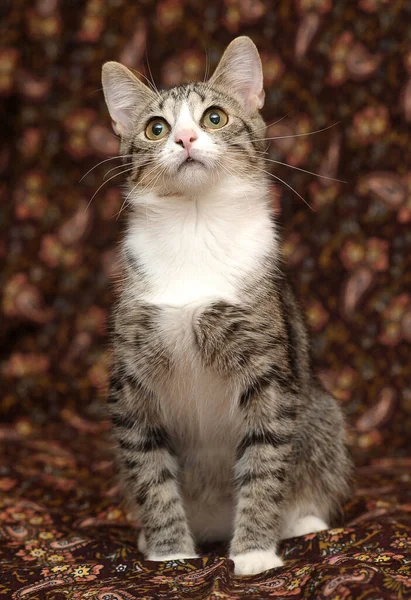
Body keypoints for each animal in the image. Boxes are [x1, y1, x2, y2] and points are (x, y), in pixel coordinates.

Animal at [101, 34, 352, 576]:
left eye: (214, 117)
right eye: (156, 128)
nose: (185, 139)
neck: (196, 226)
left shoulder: (268, 372)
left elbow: (264, 461)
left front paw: (255, 552)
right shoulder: (130, 379)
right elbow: (150, 472)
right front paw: (171, 552)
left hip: (322, 412)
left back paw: (300, 521)